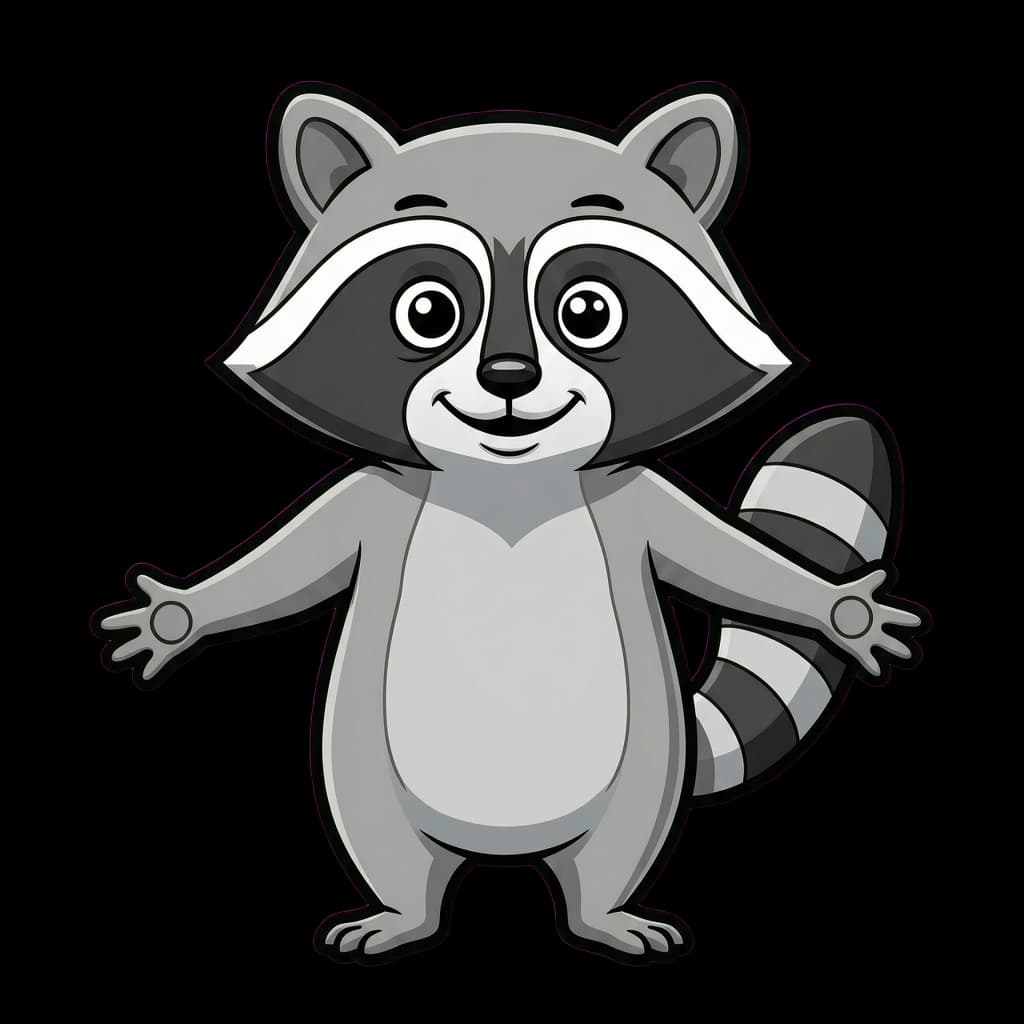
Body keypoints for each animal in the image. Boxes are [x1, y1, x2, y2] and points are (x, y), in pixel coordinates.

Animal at [95, 87, 925, 961]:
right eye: (429, 310)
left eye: (588, 311)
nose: (508, 376)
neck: (508, 483)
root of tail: (506, 852)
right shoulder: (377, 493)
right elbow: (291, 567)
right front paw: (183, 615)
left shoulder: (629, 494)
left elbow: (727, 560)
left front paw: (838, 607)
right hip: (365, 765)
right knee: (389, 845)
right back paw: (405, 914)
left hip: (643, 766)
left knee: (614, 850)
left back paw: (601, 914)